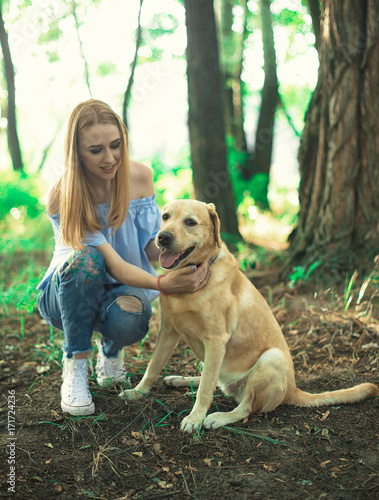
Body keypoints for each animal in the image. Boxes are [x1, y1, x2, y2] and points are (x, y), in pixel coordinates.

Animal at [121, 200, 379, 434]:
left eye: (190, 222)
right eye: (165, 217)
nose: (163, 237)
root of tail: (293, 389)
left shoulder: (216, 340)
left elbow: (205, 390)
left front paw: (195, 418)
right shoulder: (168, 330)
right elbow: (153, 367)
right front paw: (138, 392)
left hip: (271, 359)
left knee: (242, 405)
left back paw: (218, 416)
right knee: (212, 379)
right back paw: (180, 379)